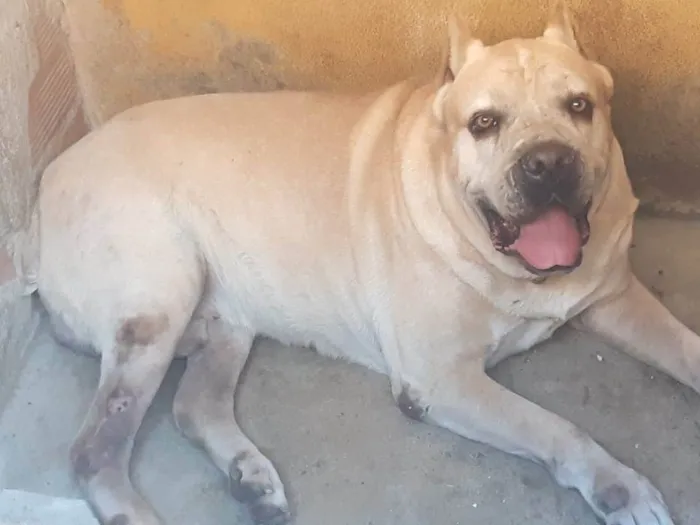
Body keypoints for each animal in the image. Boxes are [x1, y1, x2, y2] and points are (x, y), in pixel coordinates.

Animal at [16, 4, 696, 524]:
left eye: (579, 106)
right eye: (484, 122)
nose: (549, 163)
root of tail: (47, 183)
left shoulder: (613, 296)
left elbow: (686, 347)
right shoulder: (439, 379)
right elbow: (557, 427)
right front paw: (618, 486)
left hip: (224, 321)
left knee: (193, 407)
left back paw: (249, 476)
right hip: (155, 308)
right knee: (93, 451)